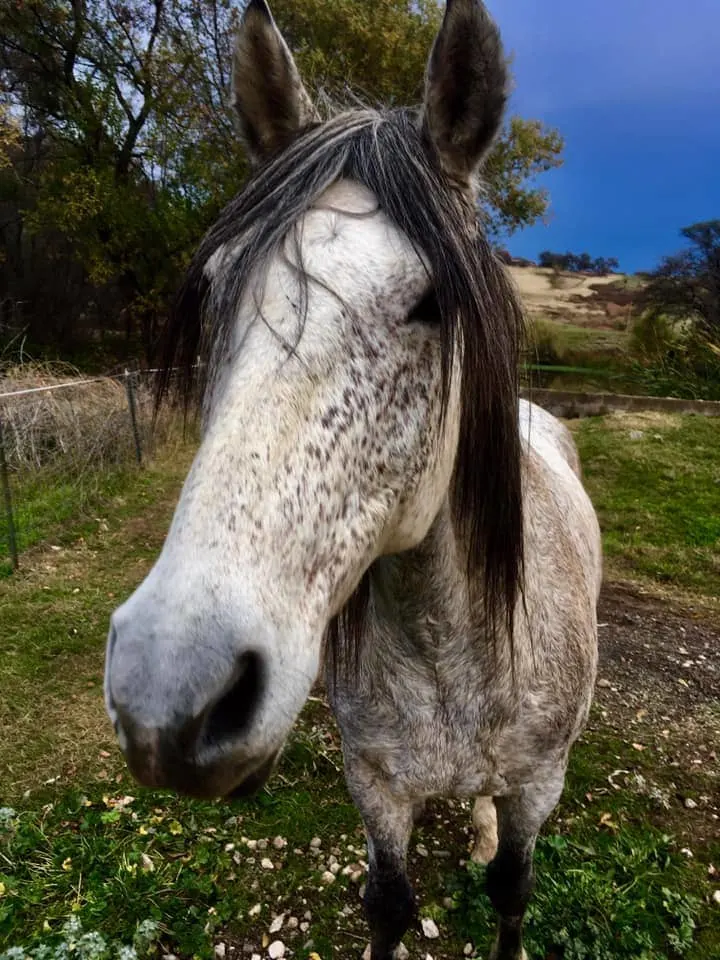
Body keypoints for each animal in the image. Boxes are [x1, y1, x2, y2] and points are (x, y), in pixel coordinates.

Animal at [104, 3, 600, 956]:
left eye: (434, 302)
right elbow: (389, 904)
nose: (168, 690)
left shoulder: (541, 785)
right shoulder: (375, 786)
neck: (454, 653)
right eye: (215, 290)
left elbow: (512, 889)